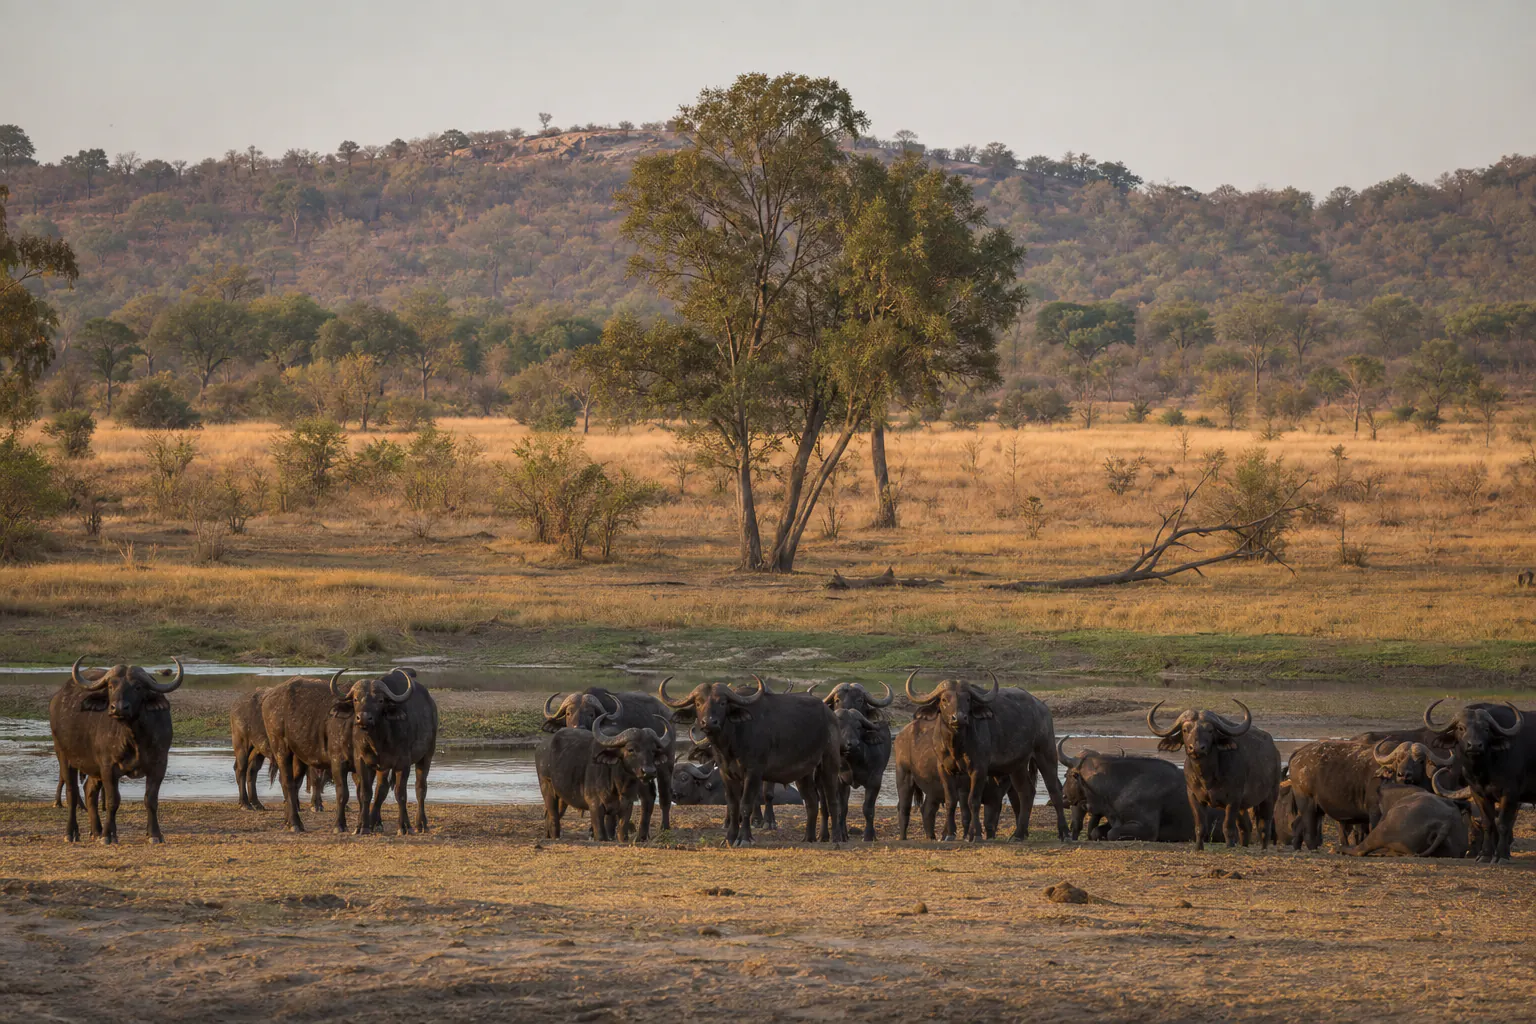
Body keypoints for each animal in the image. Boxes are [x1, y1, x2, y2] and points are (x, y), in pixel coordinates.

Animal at [50, 657, 183, 844]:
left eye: (137, 687)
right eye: (111, 686)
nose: (118, 708)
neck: (134, 738)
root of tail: (58, 698)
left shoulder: (159, 765)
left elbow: (150, 799)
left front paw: (154, 834)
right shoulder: (108, 767)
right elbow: (113, 800)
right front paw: (108, 836)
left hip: (93, 767)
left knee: (89, 791)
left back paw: (96, 830)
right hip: (64, 756)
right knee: (72, 792)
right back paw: (71, 833)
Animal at [543, 685, 676, 834]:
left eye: (591, 714)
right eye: (568, 713)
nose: (578, 727)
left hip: (665, 765)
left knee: (665, 795)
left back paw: (664, 827)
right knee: (648, 796)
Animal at [660, 676, 841, 845]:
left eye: (723, 703)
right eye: (698, 702)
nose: (709, 722)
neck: (733, 741)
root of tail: (830, 715)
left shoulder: (754, 773)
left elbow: (746, 804)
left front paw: (745, 837)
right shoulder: (727, 774)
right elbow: (733, 806)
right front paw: (729, 838)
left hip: (828, 764)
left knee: (832, 801)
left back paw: (835, 838)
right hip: (803, 773)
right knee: (812, 801)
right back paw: (808, 838)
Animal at [1148, 700, 1281, 850]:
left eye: (1210, 730)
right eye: (1185, 730)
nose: (1197, 748)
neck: (1208, 777)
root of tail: (1275, 751)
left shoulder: (1233, 800)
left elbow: (1228, 827)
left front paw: (1229, 846)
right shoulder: (1194, 797)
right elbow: (1200, 826)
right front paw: (1198, 847)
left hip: (1270, 796)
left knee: (1264, 825)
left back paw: (1264, 847)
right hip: (1243, 807)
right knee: (1245, 826)